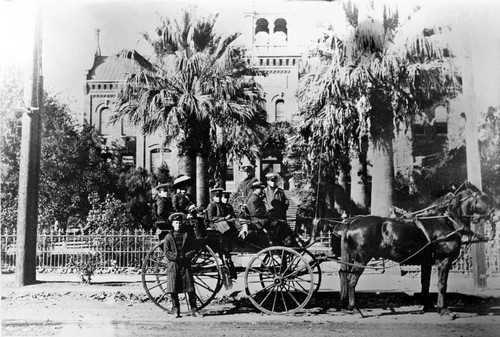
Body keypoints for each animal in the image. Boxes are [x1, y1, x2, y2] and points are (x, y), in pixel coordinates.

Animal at [338, 182, 494, 314]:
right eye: (483, 197)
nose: (495, 213)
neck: (446, 222)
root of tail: (352, 222)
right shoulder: (444, 260)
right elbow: (442, 284)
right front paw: (442, 308)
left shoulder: (426, 262)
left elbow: (425, 284)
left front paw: (428, 305)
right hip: (361, 260)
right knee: (351, 280)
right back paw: (354, 308)